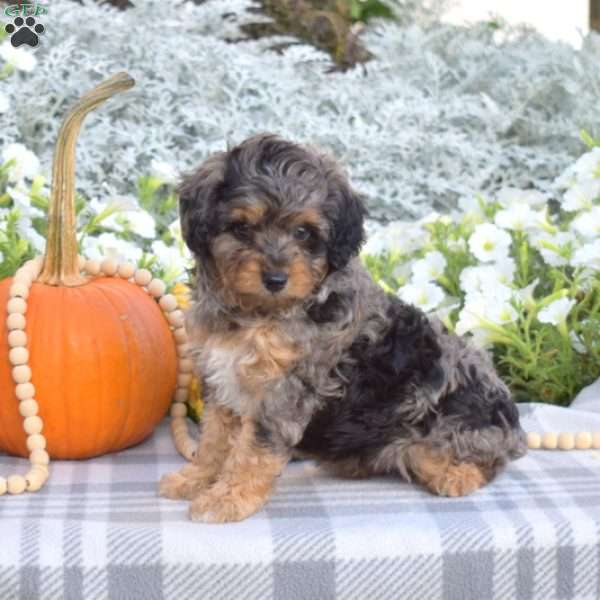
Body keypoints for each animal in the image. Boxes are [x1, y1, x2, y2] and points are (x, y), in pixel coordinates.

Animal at [158, 135, 524, 520]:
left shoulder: (283, 392)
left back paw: (457, 476)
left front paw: (228, 498)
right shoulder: (220, 379)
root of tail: (514, 428)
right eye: (241, 227)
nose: (275, 279)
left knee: (484, 463)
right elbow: (214, 439)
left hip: (443, 433)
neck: (258, 314)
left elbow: (254, 449)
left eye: (303, 232)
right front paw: (195, 479)